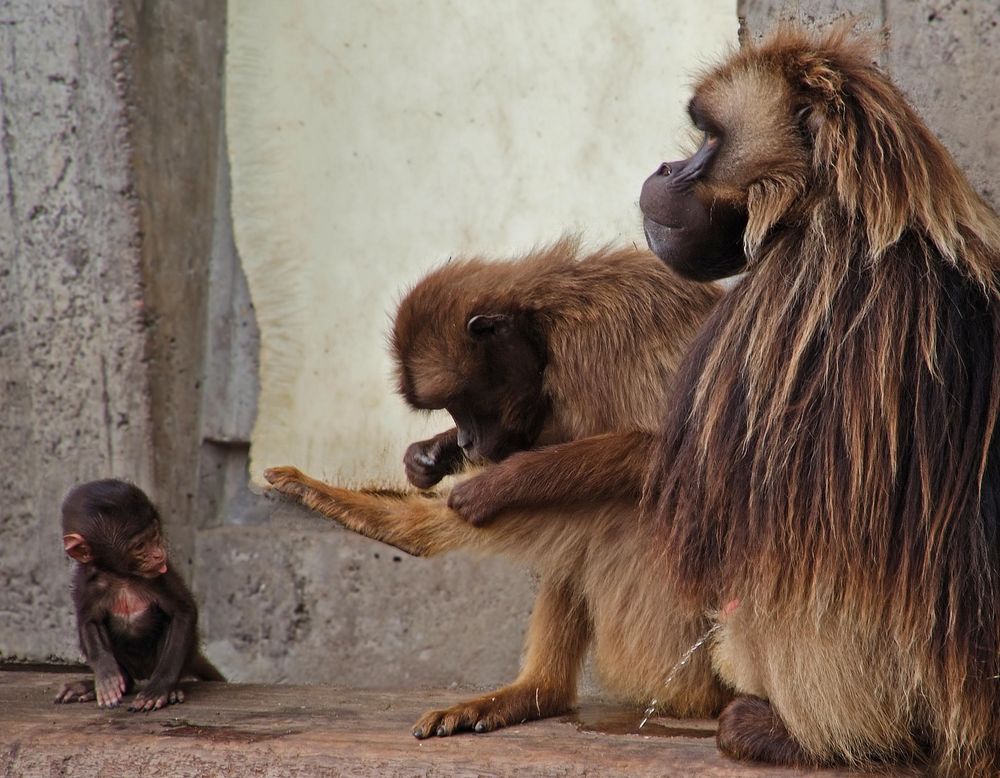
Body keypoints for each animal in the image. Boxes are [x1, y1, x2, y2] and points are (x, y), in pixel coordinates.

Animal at [55, 476, 225, 708]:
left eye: (155, 535)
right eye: (140, 546)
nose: (159, 554)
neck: (121, 576)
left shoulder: (162, 576)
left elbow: (182, 612)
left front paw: (160, 687)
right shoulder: (86, 584)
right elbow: (89, 621)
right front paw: (106, 676)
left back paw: (170, 689)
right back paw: (98, 685)